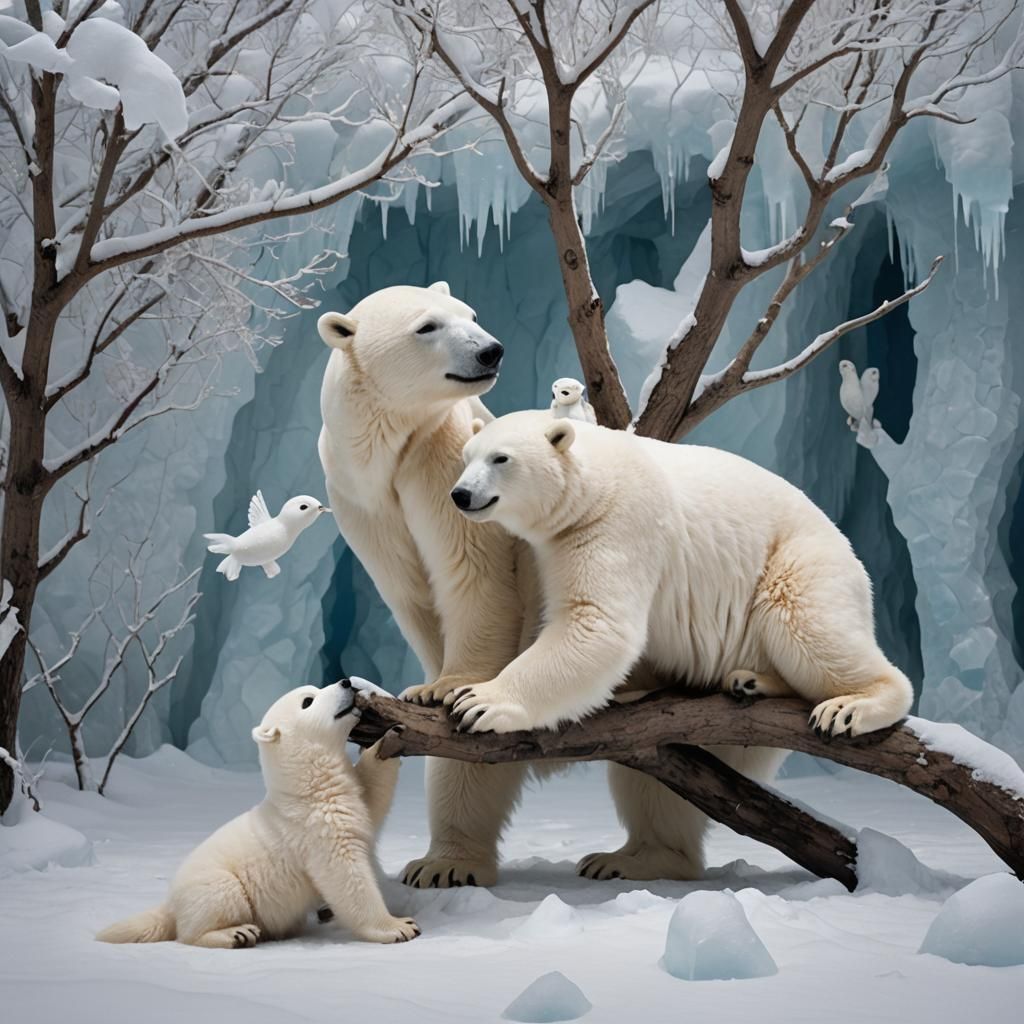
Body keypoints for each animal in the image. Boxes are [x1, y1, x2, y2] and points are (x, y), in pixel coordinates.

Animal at [96, 679, 419, 947]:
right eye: (308, 700)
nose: (346, 682)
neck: (307, 787)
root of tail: (170, 903)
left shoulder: (344, 799)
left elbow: (371, 799)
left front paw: (387, 739)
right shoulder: (313, 829)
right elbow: (346, 877)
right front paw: (400, 926)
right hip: (213, 883)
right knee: (210, 910)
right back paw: (236, 933)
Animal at [317, 282, 540, 889]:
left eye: (471, 313)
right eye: (427, 326)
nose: (491, 350)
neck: (389, 451)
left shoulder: (447, 464)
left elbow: (471, 573)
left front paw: (444, 686)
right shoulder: (359, 499)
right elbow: (411, 591)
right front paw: (426, 682)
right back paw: (444, 863)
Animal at [443, 410, 914, 881]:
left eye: (501, 458)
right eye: (466, 457)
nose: (461, 495)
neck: (595, 483)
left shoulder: (617, 525)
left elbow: (597, 622)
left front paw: (477, 701)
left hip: (797, 564)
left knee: (809, 625)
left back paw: (850, 705)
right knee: (656, 780)